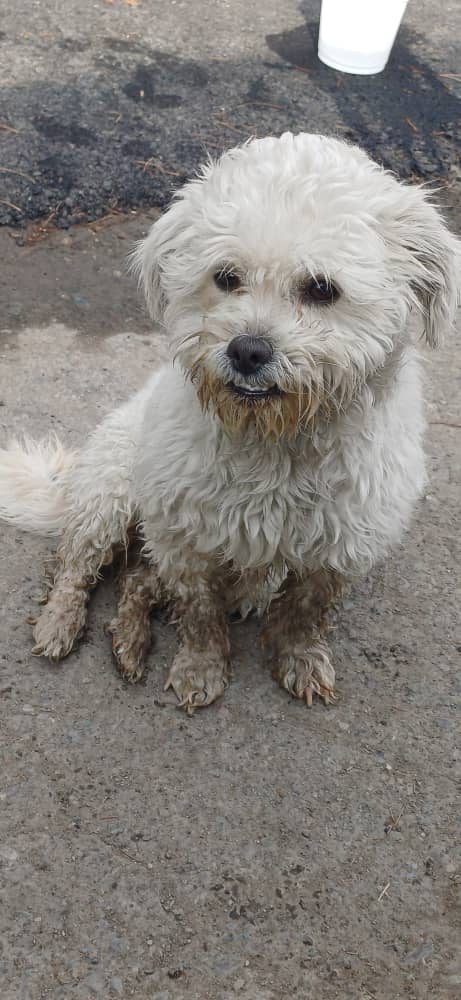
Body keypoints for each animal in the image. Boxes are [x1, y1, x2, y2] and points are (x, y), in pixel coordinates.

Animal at [0, 135, 456, 712]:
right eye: (225, 277)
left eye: (322, 288)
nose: (247, 351)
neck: (275, 441)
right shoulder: (184, 537)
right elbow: (198, 612)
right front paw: (200, 667)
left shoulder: (337, 550)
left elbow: (304, 612)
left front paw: (299, 658)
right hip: (110, 498)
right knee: (76, 566)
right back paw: (61, 622)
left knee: (136, 581)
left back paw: (129, 640)